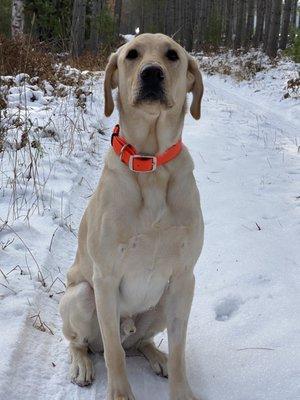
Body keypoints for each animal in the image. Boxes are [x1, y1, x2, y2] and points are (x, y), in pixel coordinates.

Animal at [59, 34, 204, 400]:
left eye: (172, 55)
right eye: (132, 55)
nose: (152, 73)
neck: (150, 165)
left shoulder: (184, 278)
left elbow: (180, 352)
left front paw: (181, 388)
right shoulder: (106, 278)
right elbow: (113, 353)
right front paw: (120, 394)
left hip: (162, 303)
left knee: (140, 342)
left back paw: (156, 356)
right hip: (81, 296)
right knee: (85, 343)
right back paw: (81, 364)